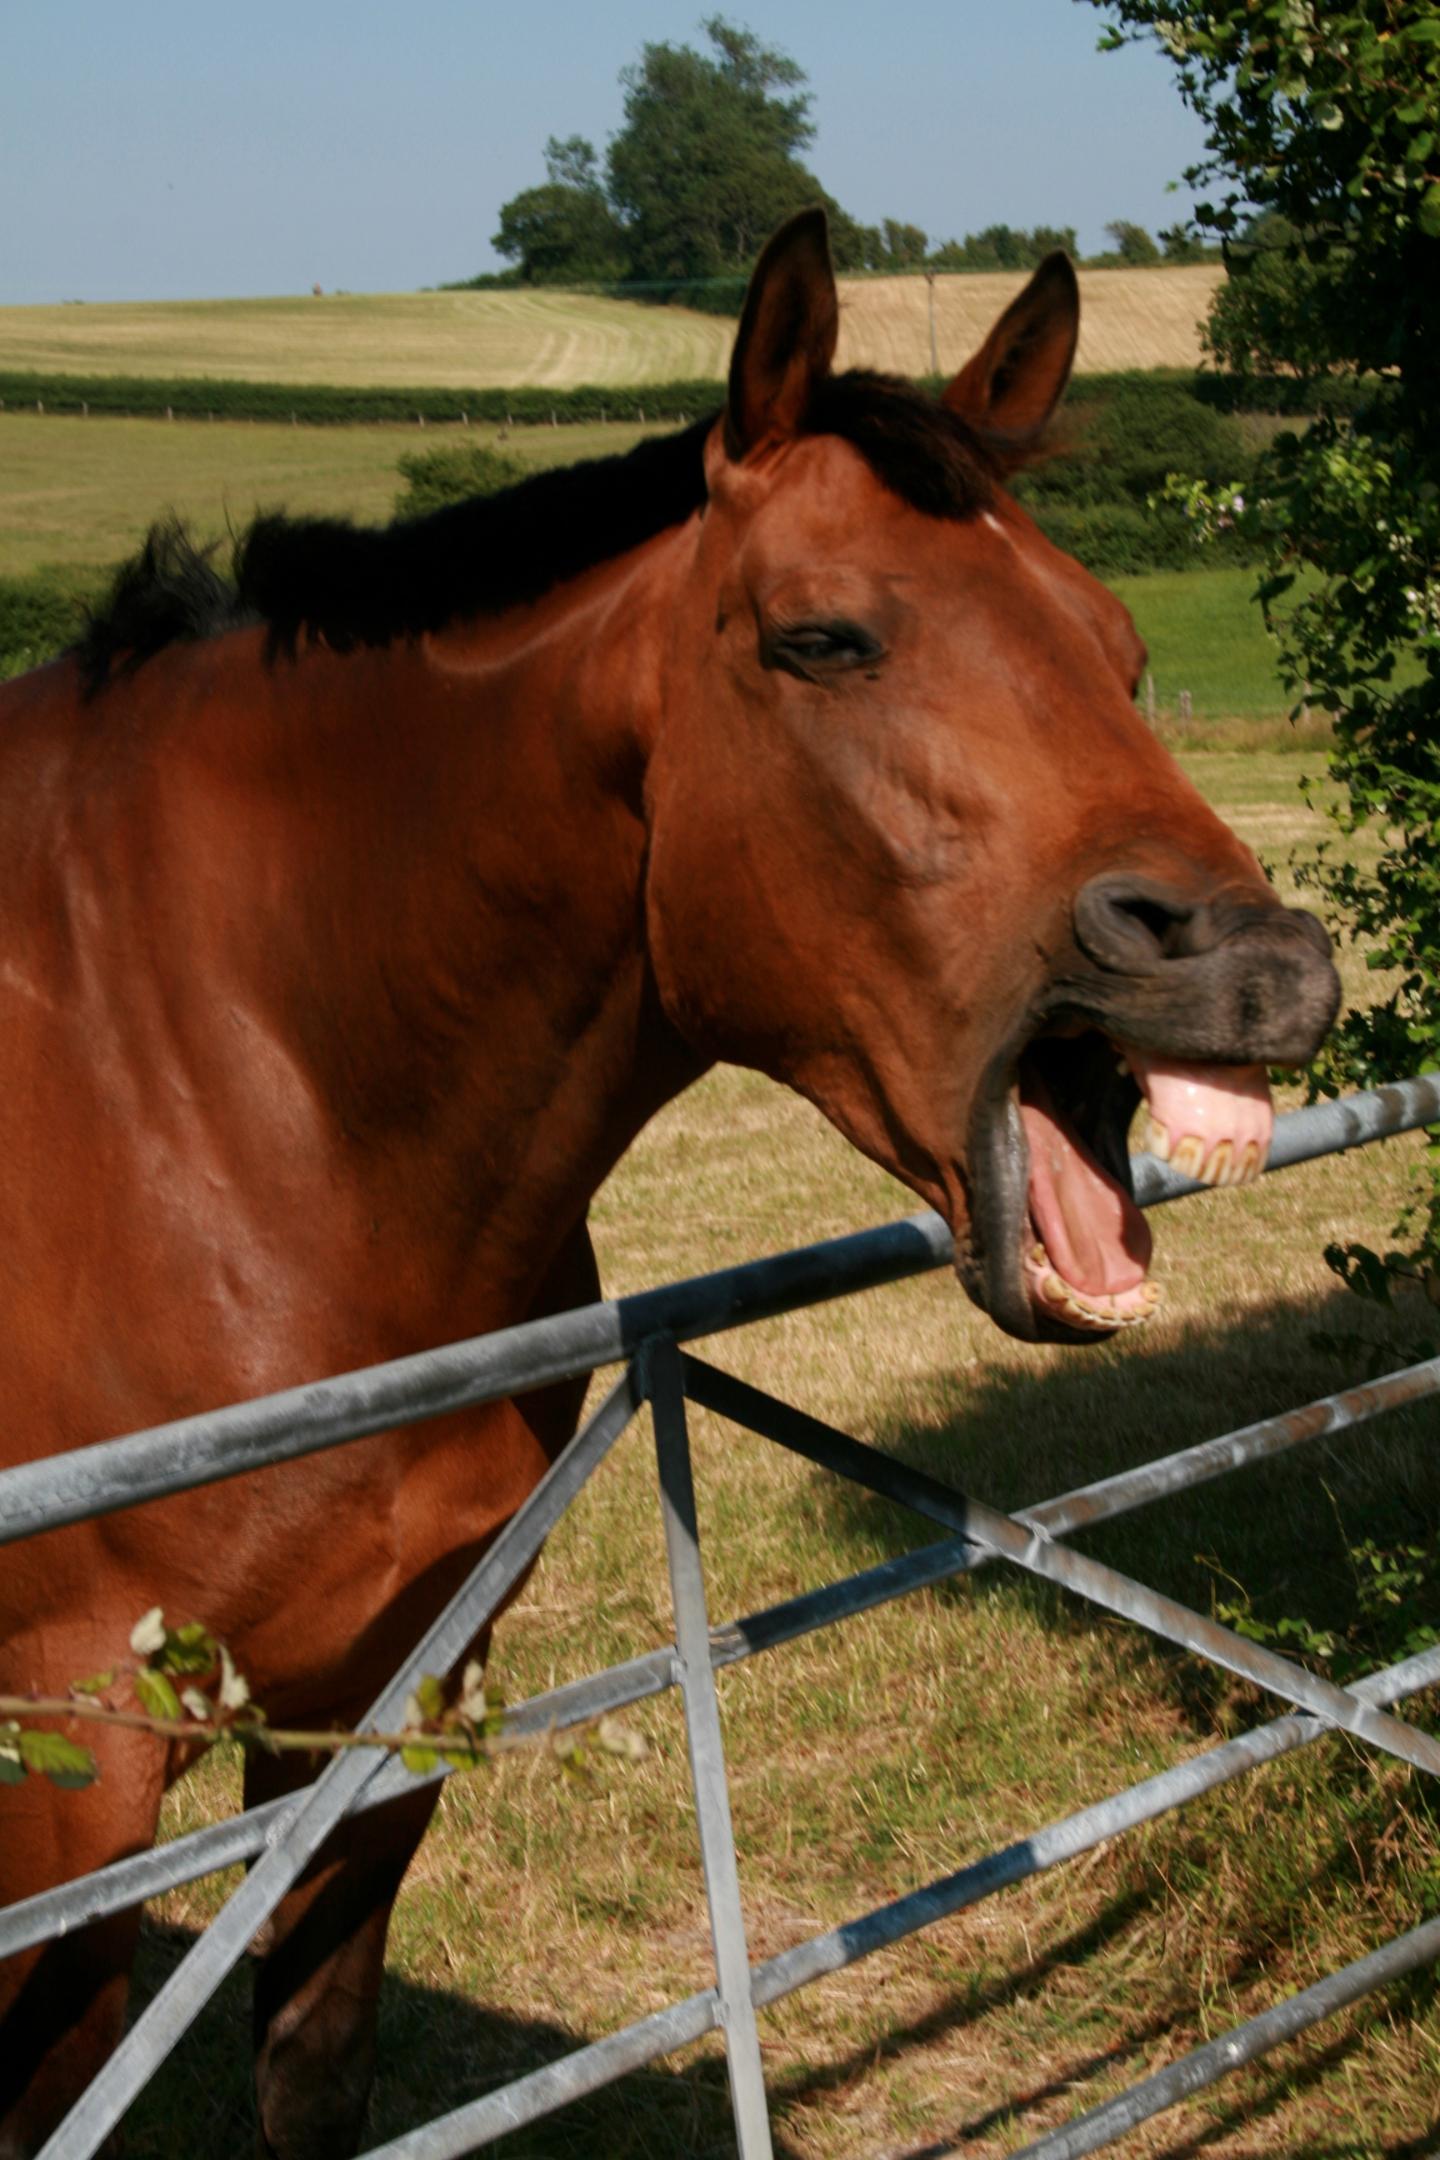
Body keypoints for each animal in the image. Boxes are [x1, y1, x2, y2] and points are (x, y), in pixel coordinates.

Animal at [0, 206, 1338, 2160]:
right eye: (825, 637)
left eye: (1114, 643)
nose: (1262, 966)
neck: (223, 1078)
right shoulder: (69, 1772)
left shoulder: (383, 1706)